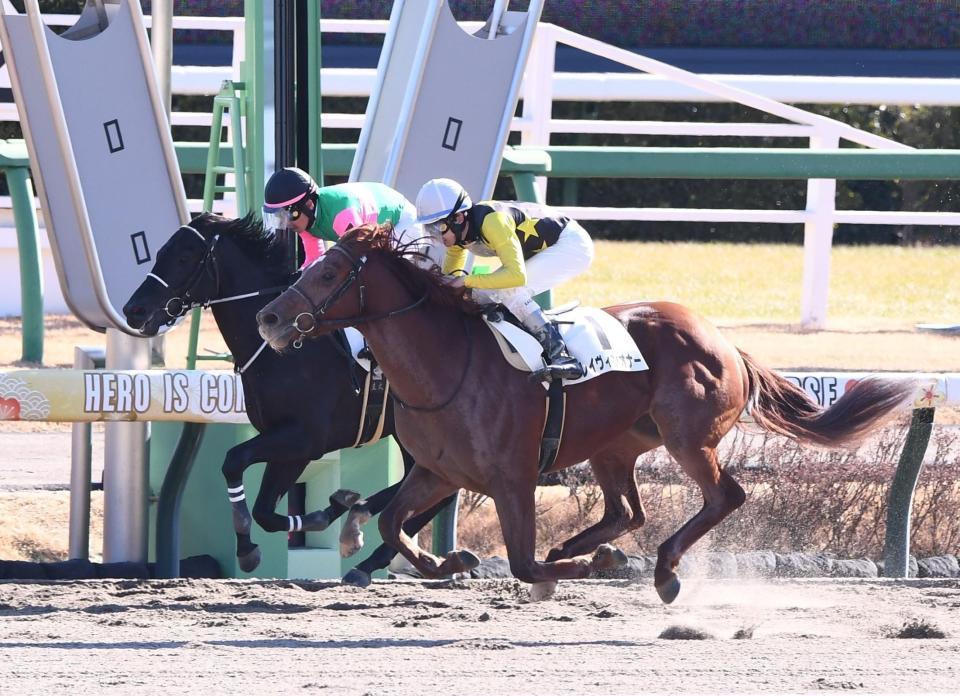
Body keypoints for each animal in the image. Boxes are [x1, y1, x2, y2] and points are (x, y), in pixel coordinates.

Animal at [123, 213, 454, 588]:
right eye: (159, 252)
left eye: (183, 257)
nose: (134, 310)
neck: (280, 352)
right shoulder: (287, 443)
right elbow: (264, 510)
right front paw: (319, 516)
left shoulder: (305, 439)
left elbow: (234, 461)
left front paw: (253, 546)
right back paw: (362, 537)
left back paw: (364, 541)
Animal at [256, 224, 916, 604]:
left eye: (331, 271)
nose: (269, 318)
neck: (447, 366)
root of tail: (726, 342)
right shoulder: (438, 471)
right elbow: (395, 524)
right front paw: (451, 559)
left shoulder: (513, 479)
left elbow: (522, 564)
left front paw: (572, 569)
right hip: (615, 445)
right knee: (627, 510)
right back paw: (588, 549)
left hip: (688, 437)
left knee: (723, 497)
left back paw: (659, 570)